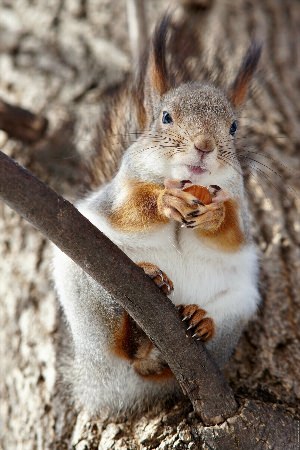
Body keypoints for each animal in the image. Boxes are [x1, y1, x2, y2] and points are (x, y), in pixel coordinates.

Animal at [52, 12, 262, 416]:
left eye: (233, 127)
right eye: (165, 117)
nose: (204, 146)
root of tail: (111, 390)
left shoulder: (241, 208)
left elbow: (232, 233)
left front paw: (213, 217)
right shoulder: (120, 190)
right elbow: (130, 209)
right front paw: (166, 201)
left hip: (239, 307)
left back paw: (196, 324)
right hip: (86, 278)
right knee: (120, 344)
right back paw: (143, 305)